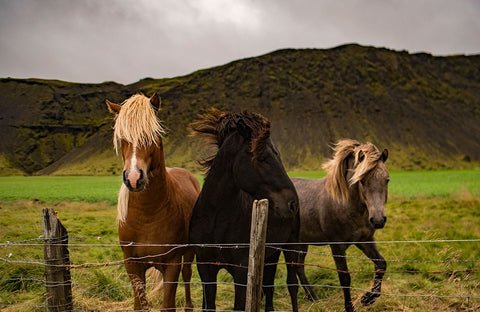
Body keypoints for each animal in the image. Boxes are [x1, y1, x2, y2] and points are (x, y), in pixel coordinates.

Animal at [106, 93, 200, 312]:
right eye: (122, 138)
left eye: (152, 136)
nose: (133, 178)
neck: (147, 215)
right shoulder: (132, 264)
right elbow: (139, 305)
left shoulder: (172, 263)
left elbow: (168, 304)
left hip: (189, 252)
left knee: (187, 275)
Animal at [188, 108, 298, 312]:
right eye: (262, 157)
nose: (292, 203)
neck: (216, 220)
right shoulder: (205, 268)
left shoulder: (241, 272)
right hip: (271, 254)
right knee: (268, 288)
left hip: (291, 249)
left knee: (291, 285)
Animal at [292, 140, 390, 312]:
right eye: (361, 181)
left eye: (387, 180)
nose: (378, 220)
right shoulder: (337, 246)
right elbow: (345, 278)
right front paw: (350, 307)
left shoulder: (365, 241)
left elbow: (381, 264)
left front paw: (368, 298)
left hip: (302, 243)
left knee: (299, 267)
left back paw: (313, 298)